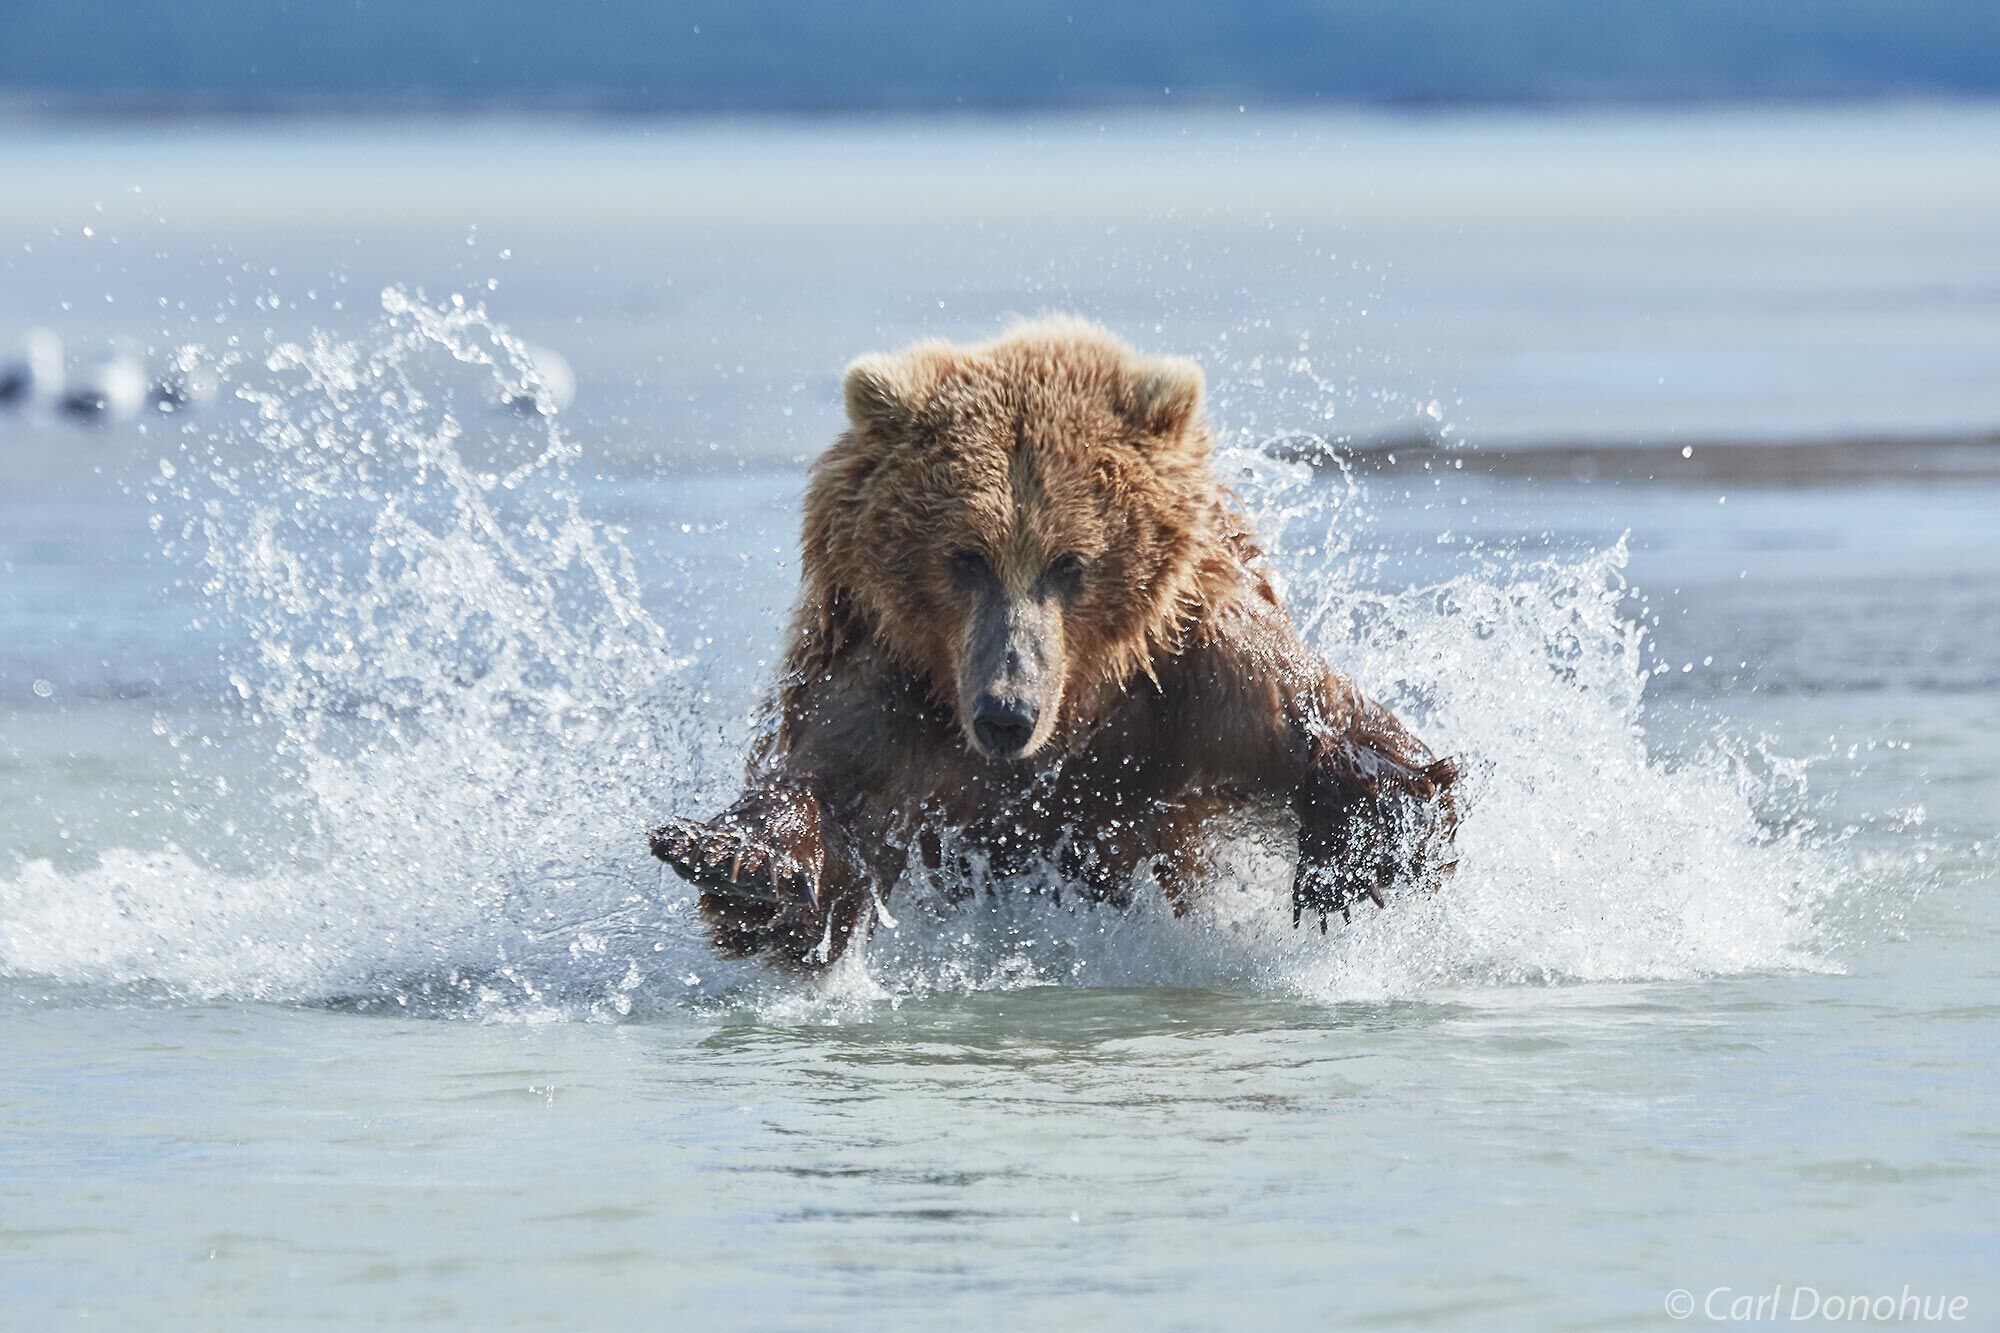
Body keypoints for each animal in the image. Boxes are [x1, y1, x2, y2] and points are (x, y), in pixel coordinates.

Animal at [652, 316, 1456, 960]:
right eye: (966, 556)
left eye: (1069, 561)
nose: (1006, 713)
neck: (1076, 705)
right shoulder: (891, 678)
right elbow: (826, 815)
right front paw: (733, 859)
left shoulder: (1193, 671)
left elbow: (1336, 728)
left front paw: (1354, 850)